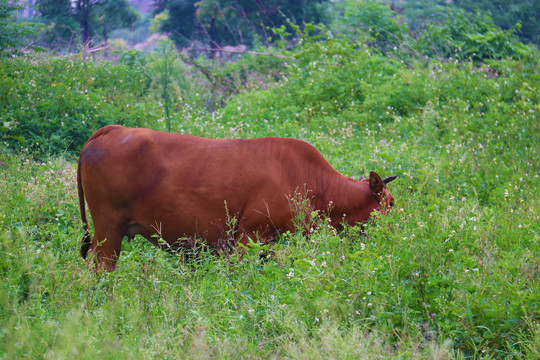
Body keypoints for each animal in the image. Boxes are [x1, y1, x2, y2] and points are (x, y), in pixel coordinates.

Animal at [77, 126, 396, 270]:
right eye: (391, 203)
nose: (395, 236)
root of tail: (112, 130)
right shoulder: (249, 236)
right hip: (108, 231)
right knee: (99, 267)